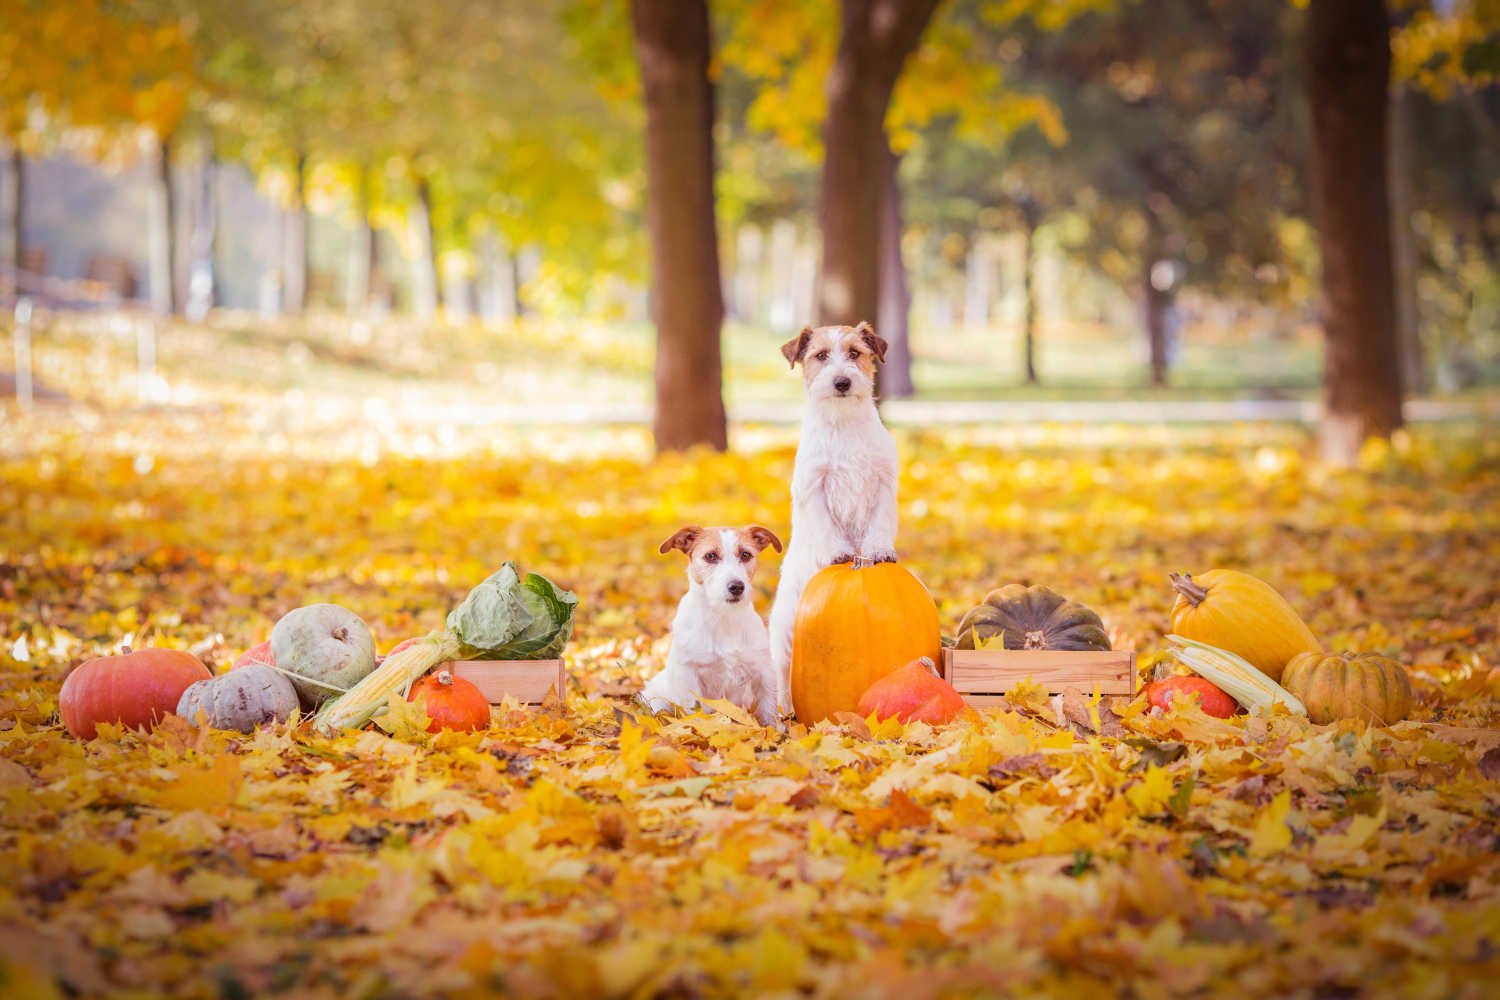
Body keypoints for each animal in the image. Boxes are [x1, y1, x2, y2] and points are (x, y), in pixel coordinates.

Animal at [642, 524, 786, 728]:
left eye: (746, 554)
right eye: (710, 556)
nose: (737, 586)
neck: (723, 617)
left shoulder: (763, 668)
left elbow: (768, 704)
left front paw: (775, 729)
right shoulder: (689, 673)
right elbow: (695, 709)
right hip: (656, 698)